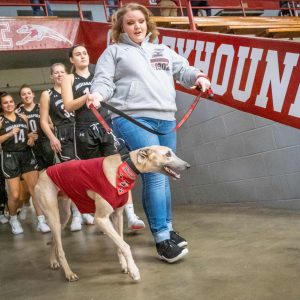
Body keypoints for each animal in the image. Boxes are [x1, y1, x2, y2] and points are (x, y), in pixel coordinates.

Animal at [34, 145, 190, 282]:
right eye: (168, 154)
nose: (188, 166)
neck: (124, 168)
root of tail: (43, 173)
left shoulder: (117, 216)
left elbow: (119, 243)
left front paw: (125, 266)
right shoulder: (101, 219)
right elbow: (125, 245)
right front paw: (134, 271)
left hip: (63, 216)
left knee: (54, 239)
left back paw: (53, 261)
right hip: (53, 216)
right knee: (60, 248)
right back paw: (68, 273)